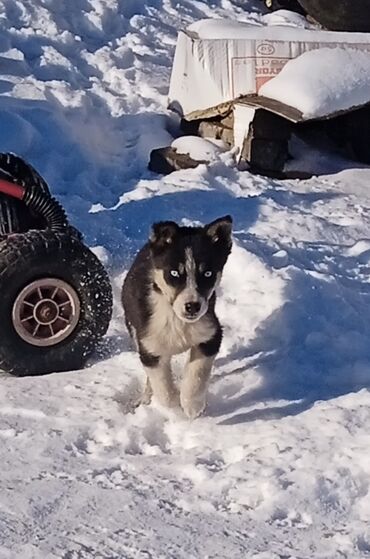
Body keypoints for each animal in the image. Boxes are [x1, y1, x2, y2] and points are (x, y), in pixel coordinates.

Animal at [121, 217, 231, 418]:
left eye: (208, 273)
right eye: (174, 273)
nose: (192, 306)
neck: (178, 321)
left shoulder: (211, 335)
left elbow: (197, 373)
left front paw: (192, 405)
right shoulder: (150, 347)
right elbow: (164, 390)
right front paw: (176, 409)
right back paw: (146, 398)